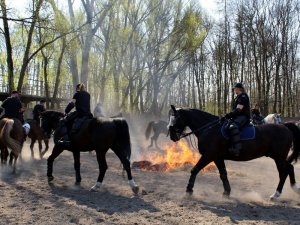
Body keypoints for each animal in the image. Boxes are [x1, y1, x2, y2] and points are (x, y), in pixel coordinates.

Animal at [168, 104, 300, 200]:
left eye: (176, 117)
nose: (172, 136)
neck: (209, 128)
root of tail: (285, 126)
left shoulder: (208, 155)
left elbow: (194, 170)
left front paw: (189, 191)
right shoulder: (217, 157)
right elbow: (223, 174)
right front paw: (227, 192)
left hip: (278, 157)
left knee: (284, 172)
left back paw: (276, 194)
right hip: (278, 157)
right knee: (289, 168)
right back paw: (295, 188)